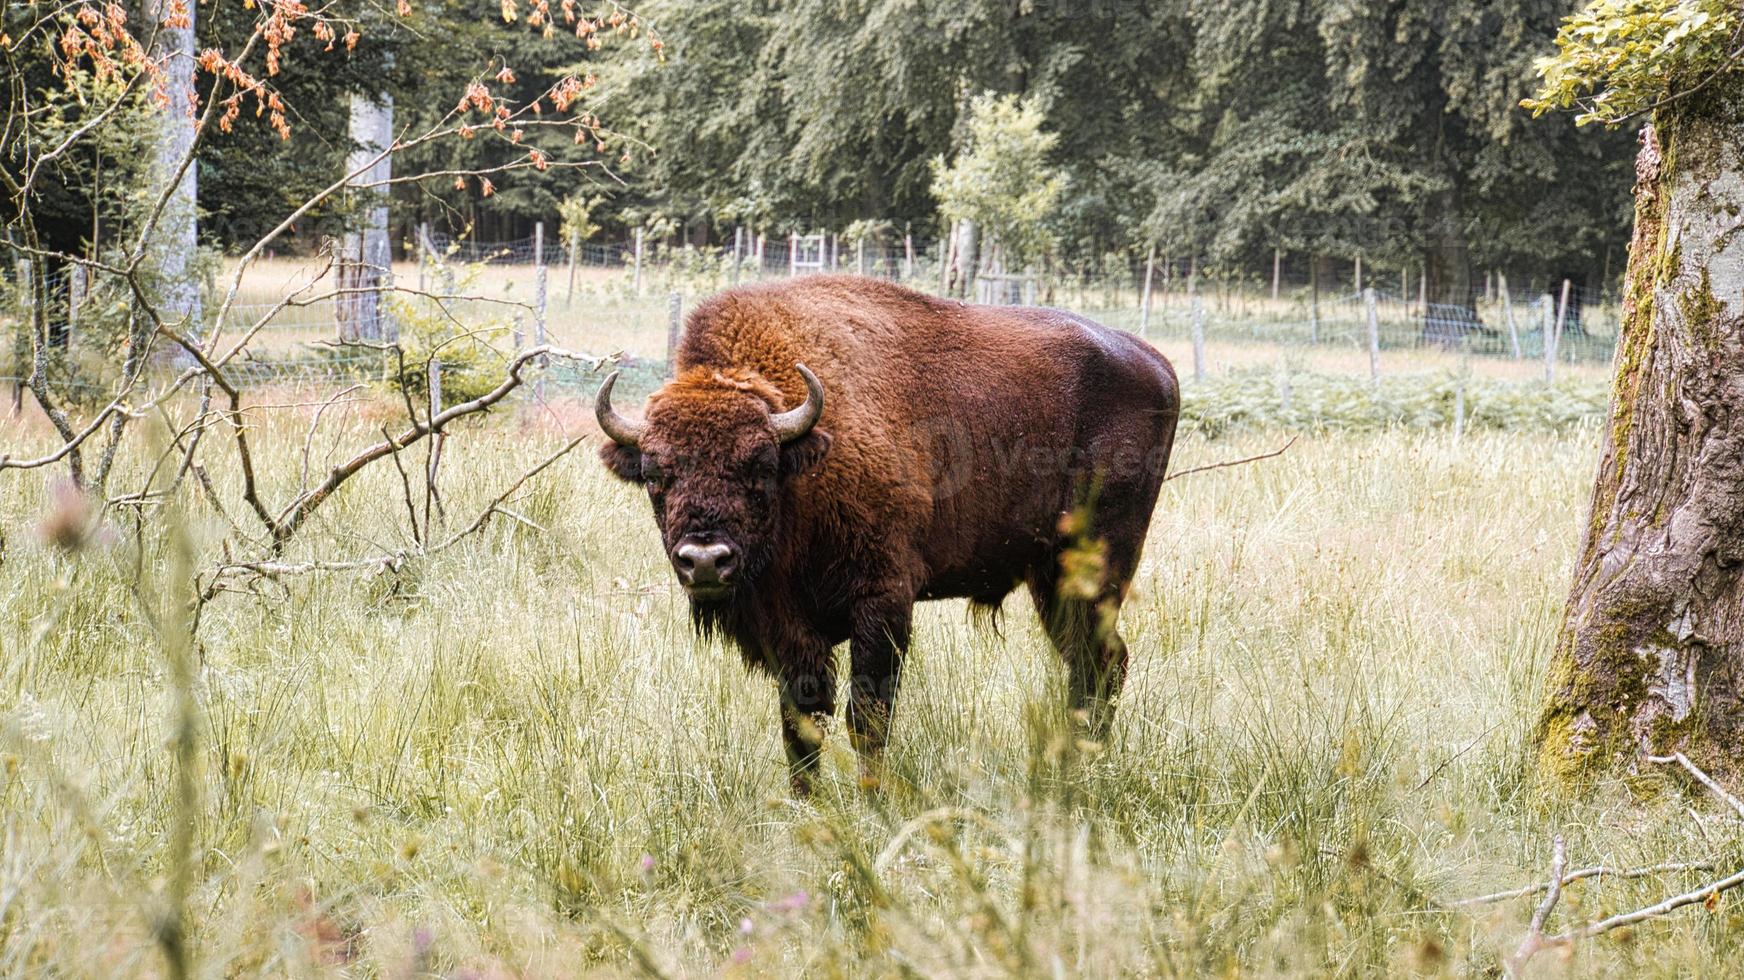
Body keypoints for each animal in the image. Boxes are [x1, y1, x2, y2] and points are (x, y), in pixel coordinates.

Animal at [592, 270, 1178, 788]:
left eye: (759, 466)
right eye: (655, 473)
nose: (706, 559)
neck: (804, 460)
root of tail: (1157, 365)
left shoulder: (883, 600)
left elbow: (867, 717)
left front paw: (873, 799)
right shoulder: (787, 629)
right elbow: (801, 723)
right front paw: (805, 801)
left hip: (1097, 568)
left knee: (1103, 663)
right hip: (1052, 581)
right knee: (1091, 664)